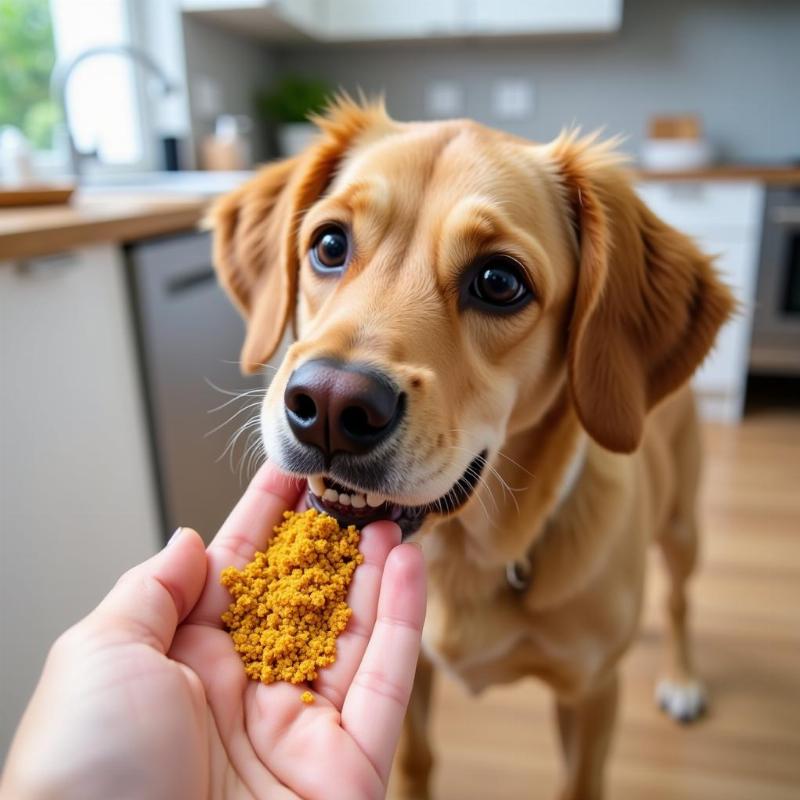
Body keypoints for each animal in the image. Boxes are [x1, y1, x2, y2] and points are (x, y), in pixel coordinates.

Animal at [209, 100, 736, 800]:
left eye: (498, 280)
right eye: (328, 245)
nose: (328, 407)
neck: (469, 551)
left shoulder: (591, 695)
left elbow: (579, 782)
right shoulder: (415, 679)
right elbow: (416, 760)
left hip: (681, 527)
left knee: (678, 600)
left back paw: (681, 677)